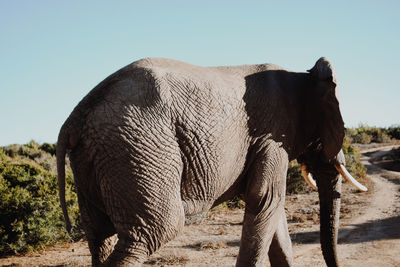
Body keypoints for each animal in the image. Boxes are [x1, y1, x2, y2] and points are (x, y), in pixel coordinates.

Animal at [56, 57, 366, 266]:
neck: (303, 76)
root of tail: (75, 116)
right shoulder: (270, 139)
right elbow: (266, 200)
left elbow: (273, 210)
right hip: (137, 147)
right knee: (155, 230)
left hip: (97, 157)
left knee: (101, 238)